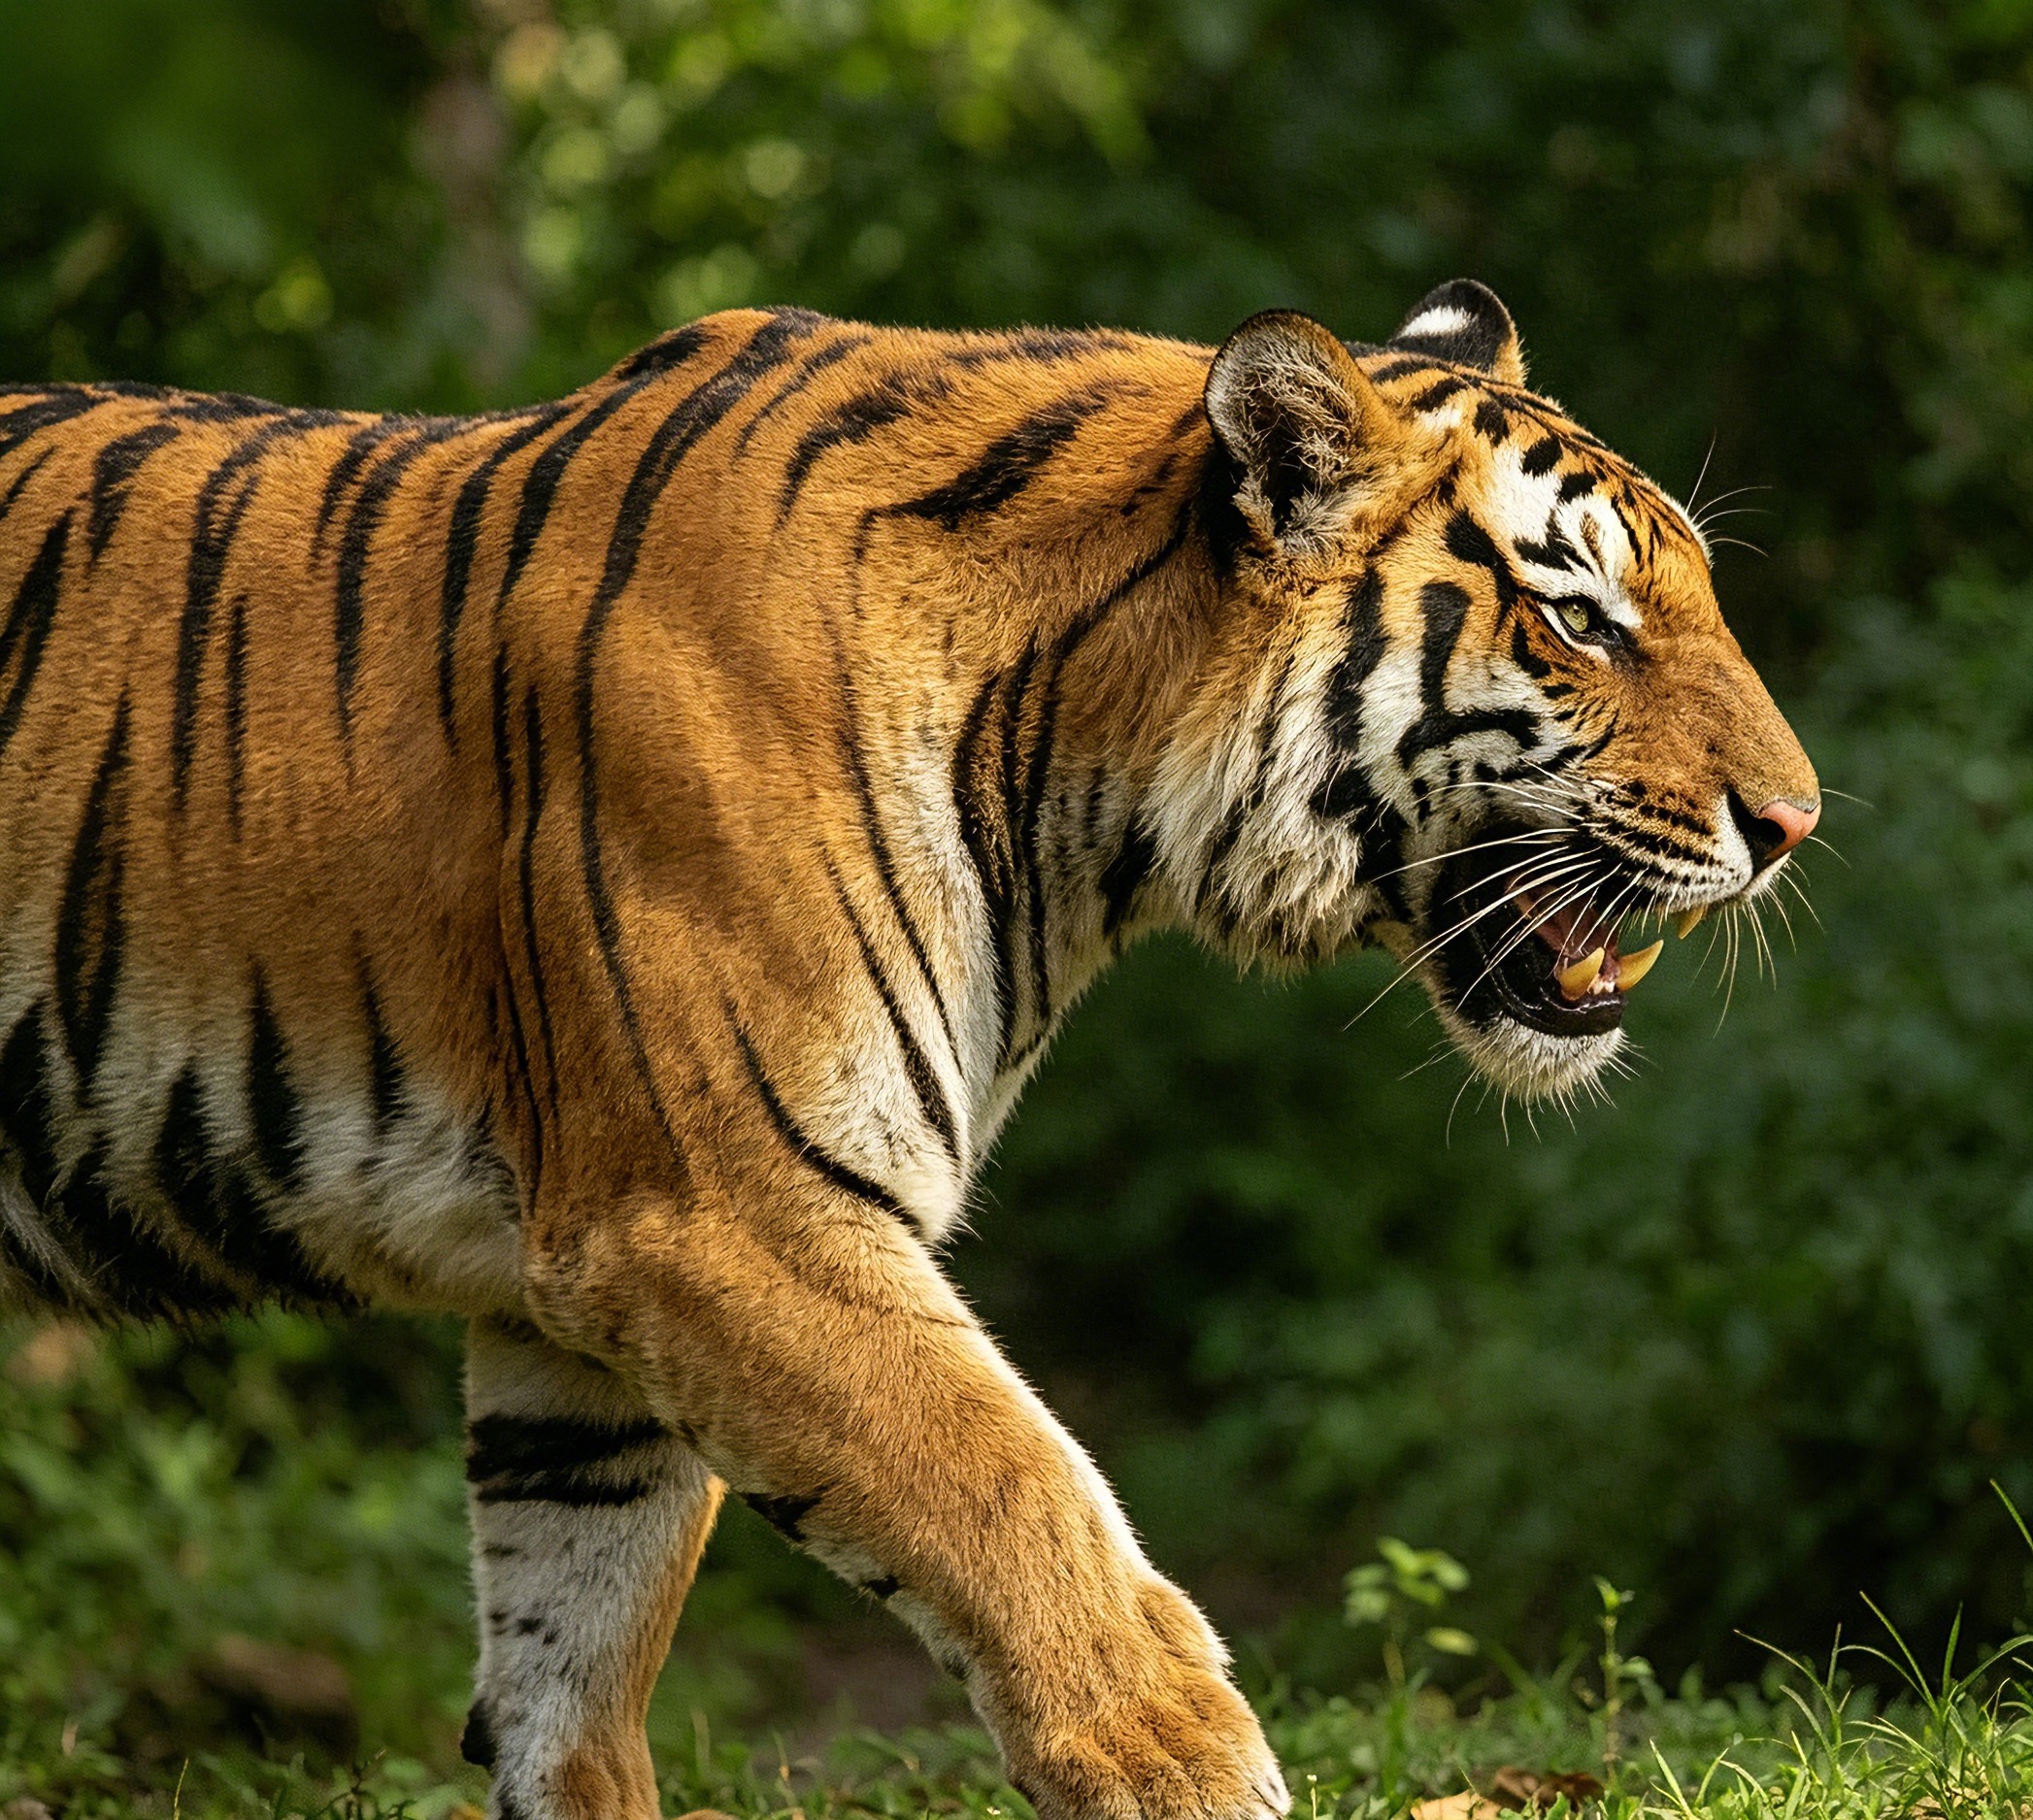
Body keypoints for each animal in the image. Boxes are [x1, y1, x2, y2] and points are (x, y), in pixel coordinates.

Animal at [0, 280, 1818, 1820]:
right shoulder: (723, 1214)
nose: (1792, 823)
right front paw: (1185, 1767)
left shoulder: (570, 1303)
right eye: (1577, 620)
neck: (1084, 789)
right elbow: (1004, 1487)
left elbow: (570, 1647)